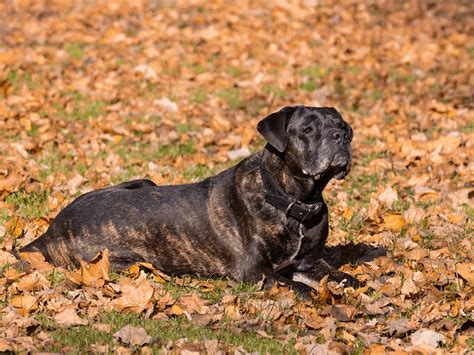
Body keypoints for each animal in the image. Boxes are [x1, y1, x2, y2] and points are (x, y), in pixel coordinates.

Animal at [21, 105, 362, 298]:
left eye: (342, 126)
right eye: (307, 130)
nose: (341, 137)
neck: (293, 200)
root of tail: (51, 230)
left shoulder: (309, 262)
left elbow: (345, 278)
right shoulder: (255, 271)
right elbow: (297, 287)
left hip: (144, 181)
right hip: (130, 264)